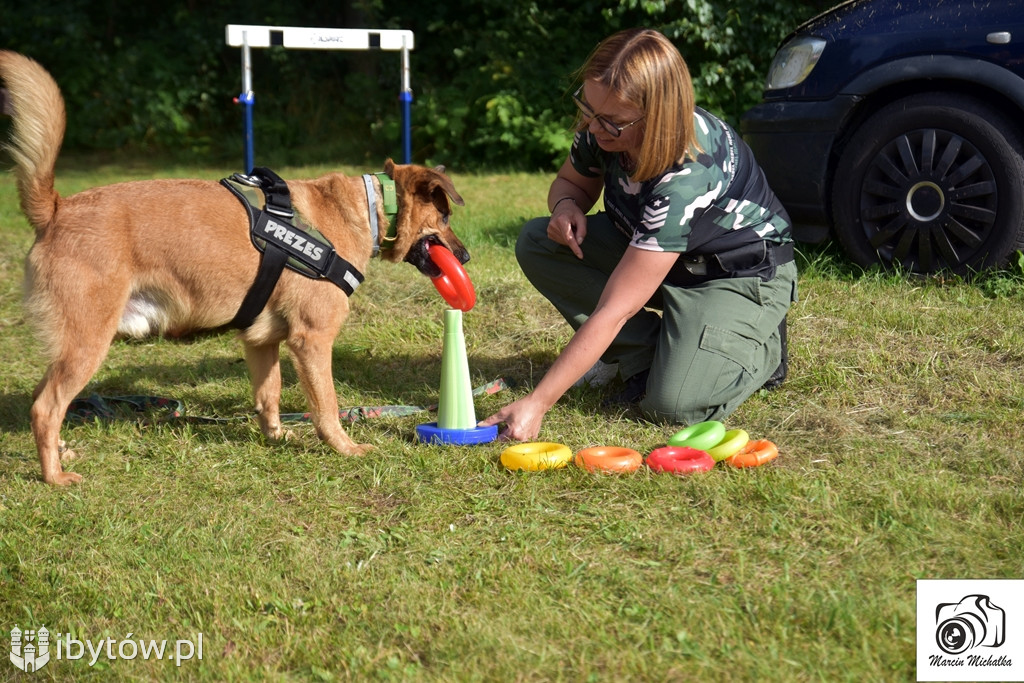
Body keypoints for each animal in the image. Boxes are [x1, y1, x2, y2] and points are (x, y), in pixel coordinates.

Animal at [0, 50, 471, 483]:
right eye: (445, 218)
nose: (465, 257)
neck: (366, 208)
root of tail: (55, 209)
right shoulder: (312, 339)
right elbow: (327, 405)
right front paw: (344, 447)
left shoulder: (262, 341)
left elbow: (270, 395)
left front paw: (276, 436)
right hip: (88, 341)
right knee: (45, 407)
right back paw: (54, 476)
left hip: (74, 346)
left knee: (46, 399)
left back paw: (62, 451)